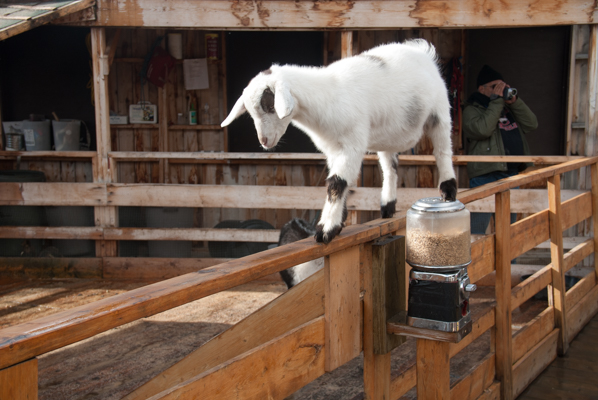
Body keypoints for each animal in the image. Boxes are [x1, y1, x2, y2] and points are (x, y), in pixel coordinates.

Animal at [223, 39, 458, 244]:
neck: (327, 96)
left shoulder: (351, 144)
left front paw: (326, 229)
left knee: (443, 152)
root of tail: (422, 52)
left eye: (270, 105)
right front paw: (339, 221)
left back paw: (448, 191)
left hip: (439, 113)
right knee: (389, 167)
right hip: (388, 133)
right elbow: (342, 182)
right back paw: (387, 205)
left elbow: (336, 182)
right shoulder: (333, 149)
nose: (264, 141)